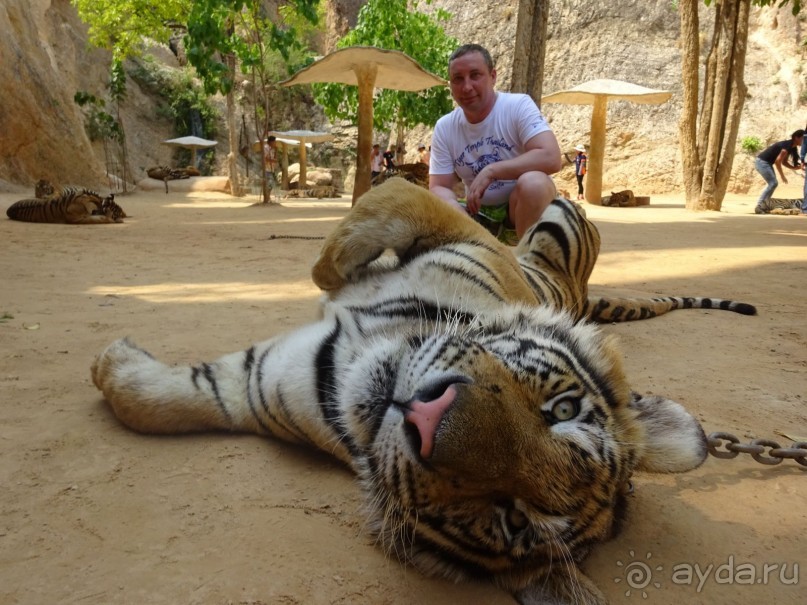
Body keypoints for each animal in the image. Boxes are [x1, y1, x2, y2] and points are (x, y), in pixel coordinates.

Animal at [93, 179, 756, 604]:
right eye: (562, 410)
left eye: (511, 517)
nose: (429, 417)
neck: (361, 354)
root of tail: (581, 292)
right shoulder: (458, 234)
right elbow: (379, 204)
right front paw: (111, 363)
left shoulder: (261, 383)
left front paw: (110, 365)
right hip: (560, 218)